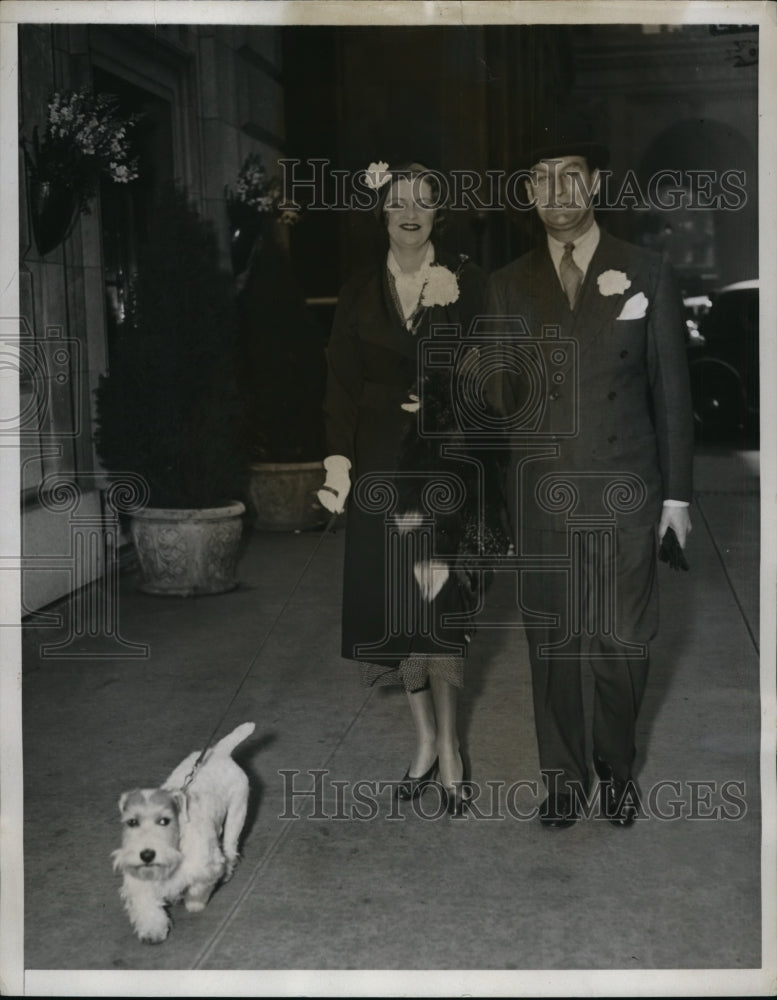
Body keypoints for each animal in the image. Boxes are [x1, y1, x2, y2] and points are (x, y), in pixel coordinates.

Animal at [112, 724, 255, 940]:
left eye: (164, 821)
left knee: (230, 847)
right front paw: (153, 929)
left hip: (237, 813)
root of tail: (219, 752)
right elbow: (146, 904)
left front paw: (194, 905)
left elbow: (198, 888)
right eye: (132, 822)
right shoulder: (140, 878)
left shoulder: (206, 868)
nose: (146, 854)